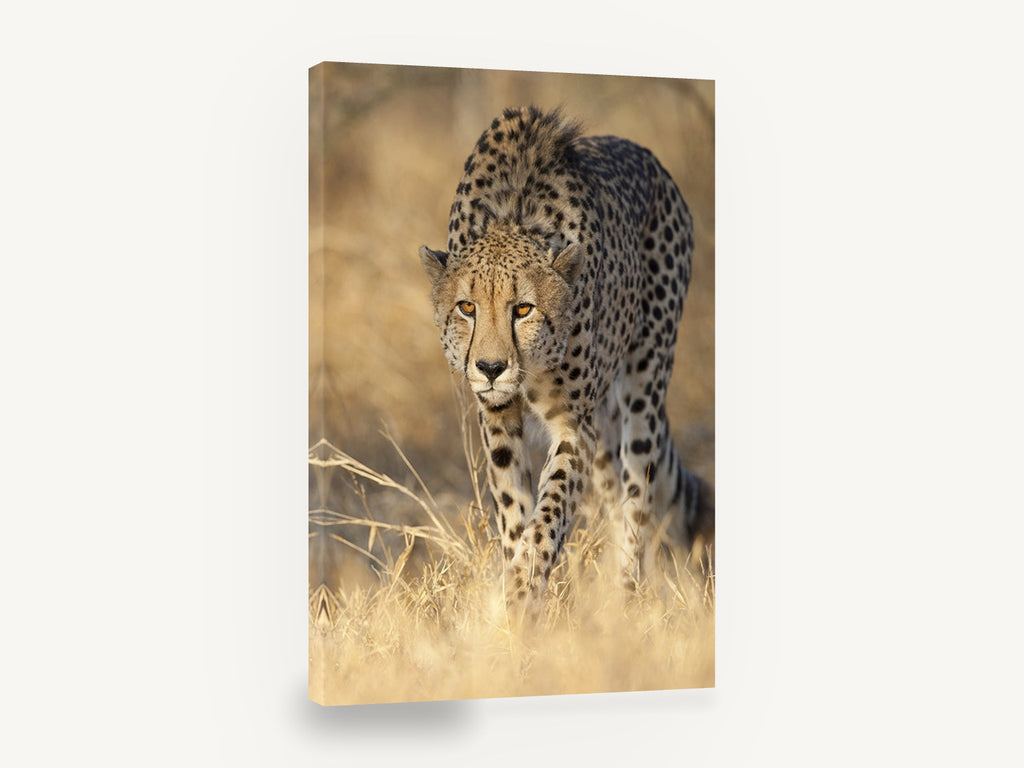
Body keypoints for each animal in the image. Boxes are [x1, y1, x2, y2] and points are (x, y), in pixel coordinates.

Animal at [420, 106, 712, 613]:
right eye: (467, 307)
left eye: (523, 309)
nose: (491, 369)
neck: (512, 217)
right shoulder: (497, 417)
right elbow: (514, 509)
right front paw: (517, 592)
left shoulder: (576, 425)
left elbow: (551, 510)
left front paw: (525, 587)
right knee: (613, 493)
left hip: (645, 381)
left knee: (637, 496)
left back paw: (625, 596)